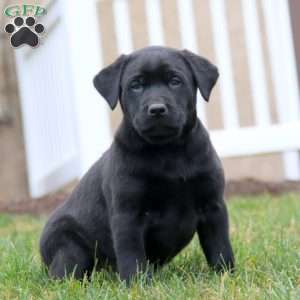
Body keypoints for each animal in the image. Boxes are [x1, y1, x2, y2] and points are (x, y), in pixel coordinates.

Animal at [40, 45, 234, 282]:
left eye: (175, 81)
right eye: (136, 85)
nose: (157, 109)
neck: (168, 150)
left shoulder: (213, 206)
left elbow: (220, 247)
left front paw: (226, 276)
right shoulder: (127, 215)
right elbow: (131, 255)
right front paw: (136, 284)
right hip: (69, 245)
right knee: (66, 273)